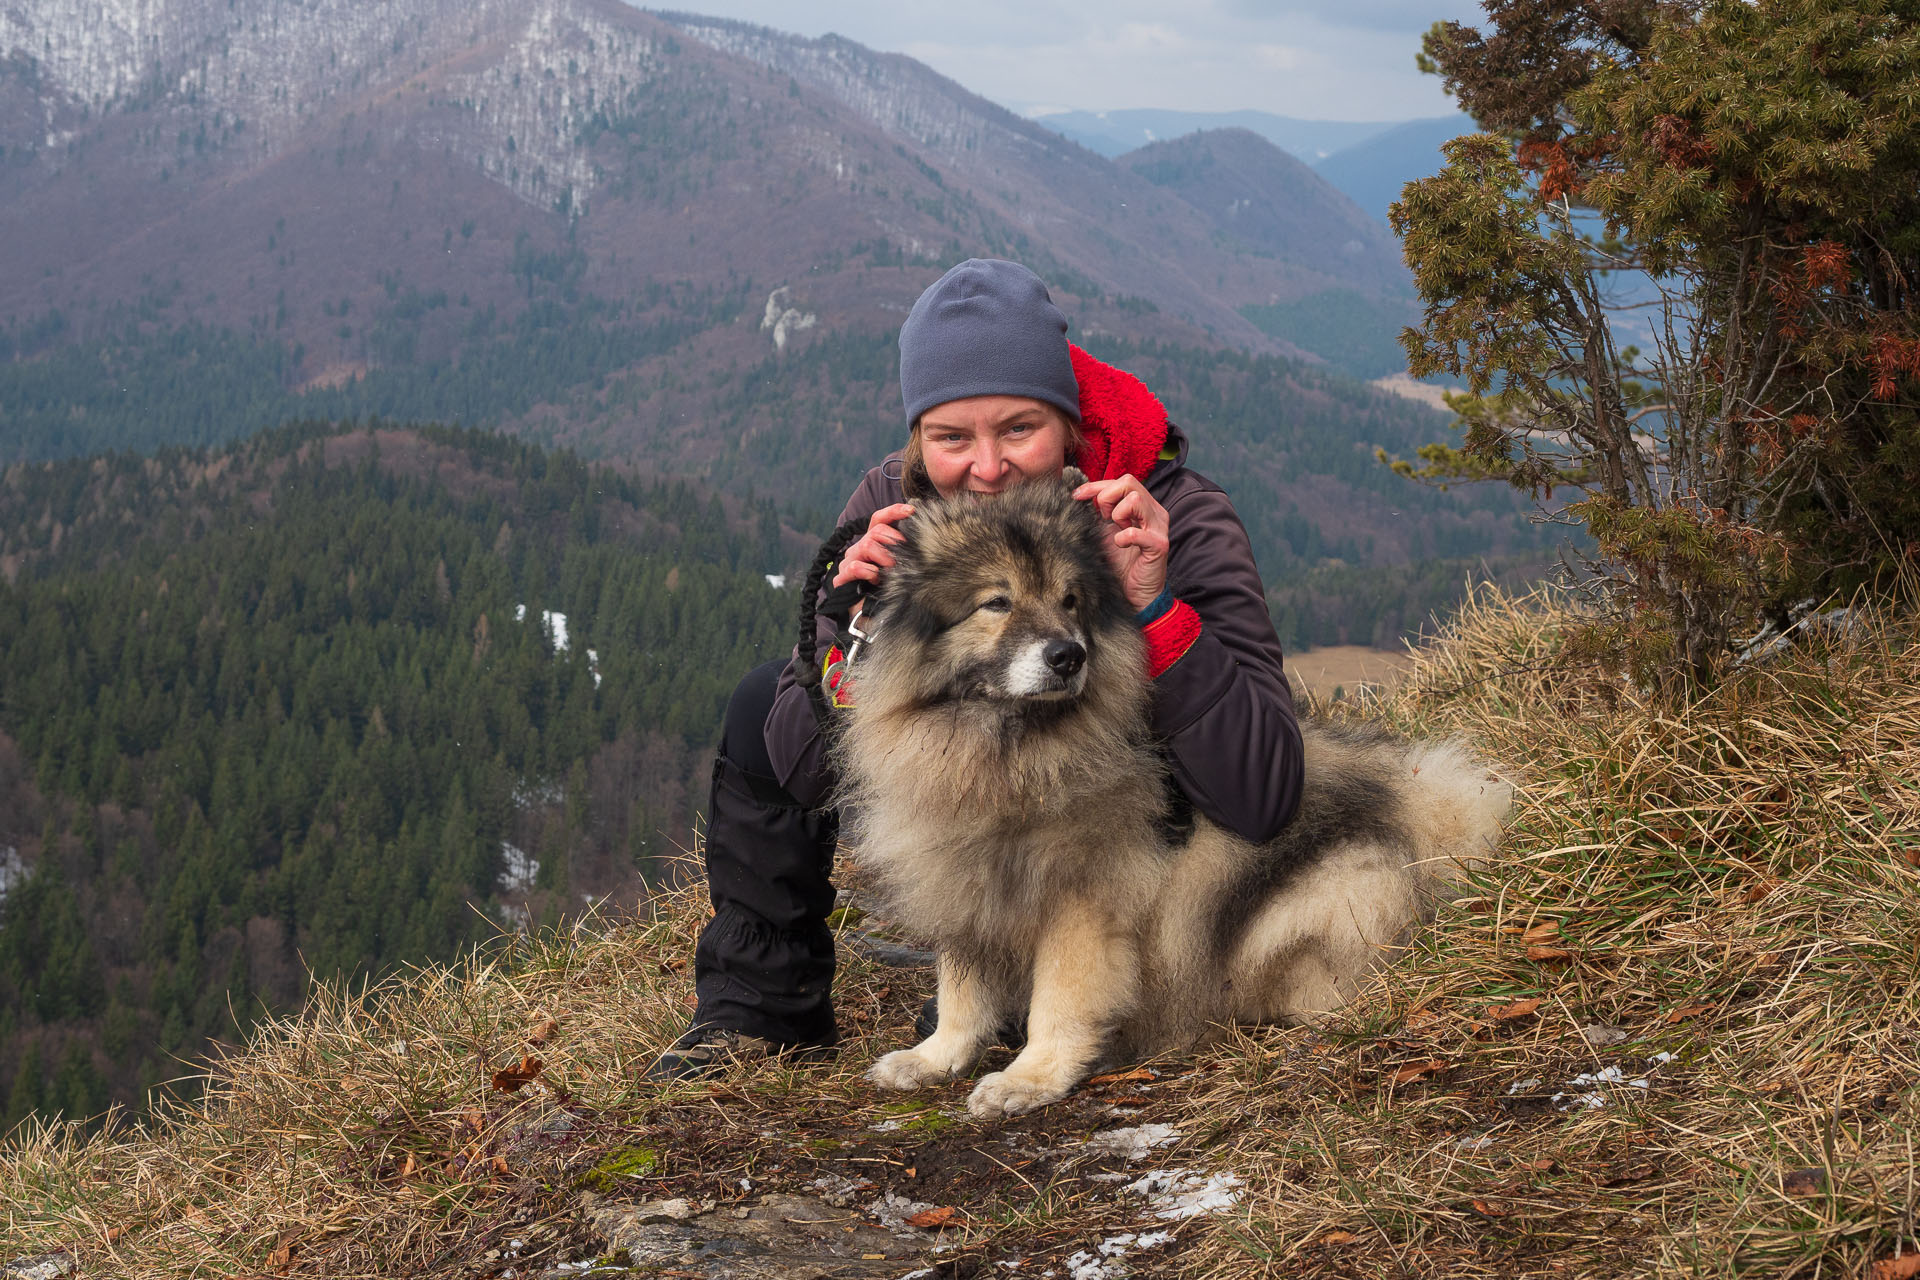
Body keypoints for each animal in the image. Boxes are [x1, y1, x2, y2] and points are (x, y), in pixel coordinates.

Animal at [833, 474, 1505, 1120]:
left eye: (1070, 601)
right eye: (997, 602)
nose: (1068, 655)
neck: (1014, 750)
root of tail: (1434, 827)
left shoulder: (1082, 897)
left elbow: (1060, 997)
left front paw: (1031, 1077)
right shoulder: (965, 882)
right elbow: (962, 990)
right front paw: (937, 1057)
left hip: (1326, 902)